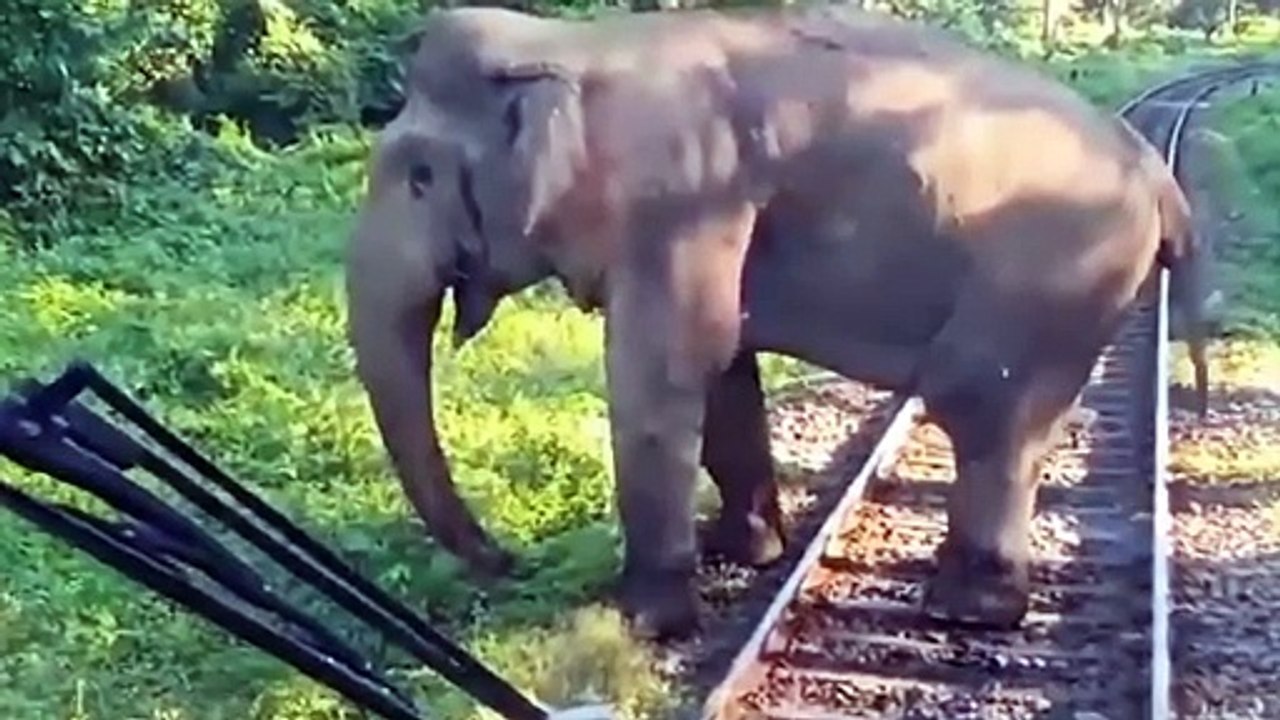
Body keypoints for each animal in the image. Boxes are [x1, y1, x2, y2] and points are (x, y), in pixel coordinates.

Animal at [342, 4, 1215, 640]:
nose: (512, 561)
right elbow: (725, 366)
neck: (571, 45)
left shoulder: (679, 200)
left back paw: (965, 610)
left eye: (419, 178)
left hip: (1054, 277)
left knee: (981, 410)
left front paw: (643, 621)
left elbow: (663, 373)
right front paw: (745, 552)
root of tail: (1162, 180)